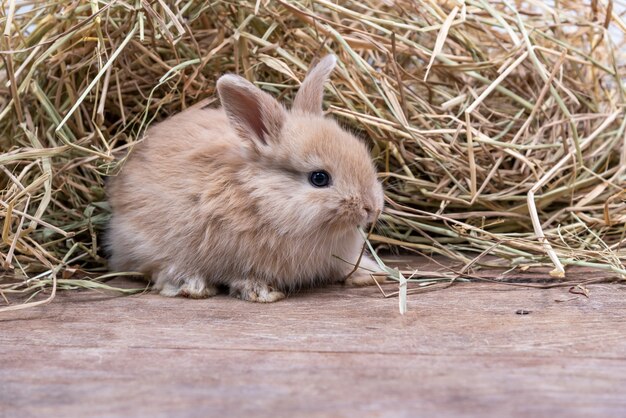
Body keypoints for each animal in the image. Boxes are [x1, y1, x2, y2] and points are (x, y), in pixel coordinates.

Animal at [105, 56, 382, 304]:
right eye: (319, 178)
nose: (372, 208)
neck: (261, 200)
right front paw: (261, 292)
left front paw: (369, 273)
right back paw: (192, 285)